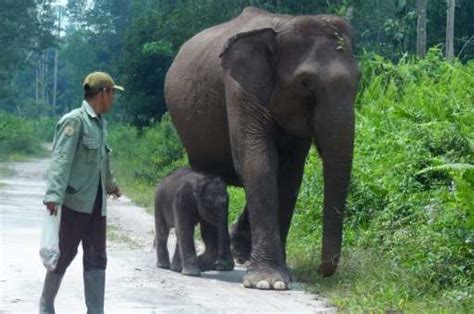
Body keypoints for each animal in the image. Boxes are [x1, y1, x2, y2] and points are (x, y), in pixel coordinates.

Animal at [164, 6, 360, 290]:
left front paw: (283, 274)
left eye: (359, 80)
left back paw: (237, 253)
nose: (319, 272)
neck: (283, 26)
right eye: (305, 83)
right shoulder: (239, 87)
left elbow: (289, 175)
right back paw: (217, 263)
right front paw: (268, 281)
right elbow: (257, 163)